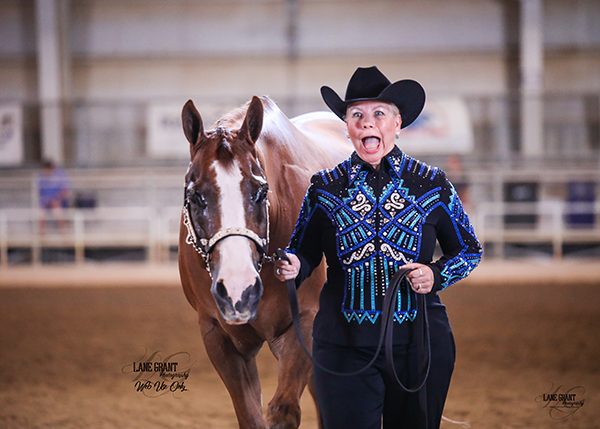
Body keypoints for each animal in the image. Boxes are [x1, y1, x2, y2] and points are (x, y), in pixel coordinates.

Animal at [177, 96, 352, 428]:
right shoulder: (218, 336)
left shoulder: (306, 321)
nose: (238, 290)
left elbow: (283, 412)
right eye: (195, 195)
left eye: (260, 191)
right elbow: (250, 416)